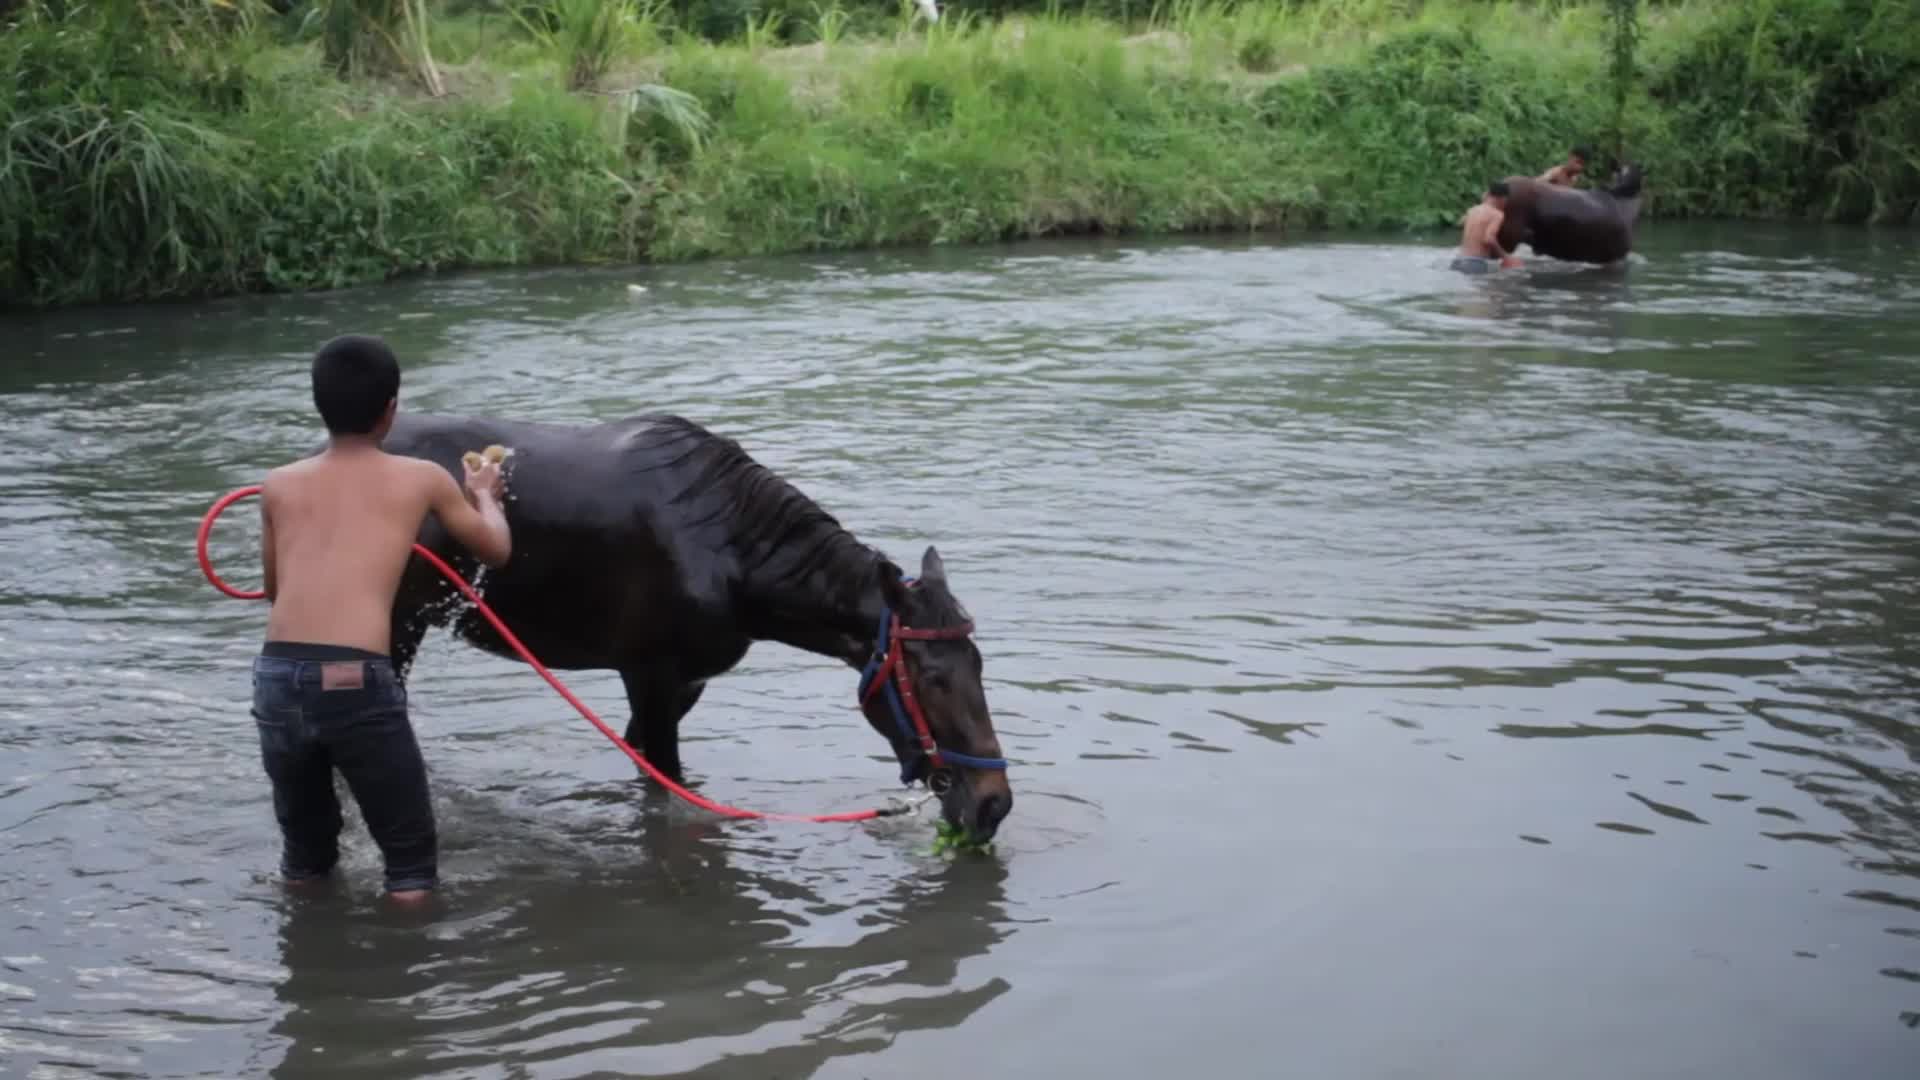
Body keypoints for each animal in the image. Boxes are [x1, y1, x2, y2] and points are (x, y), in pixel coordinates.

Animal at [367, 411, 1013, 841]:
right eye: (931, 678)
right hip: (393, 631)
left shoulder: (684, 683)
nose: (994, 806)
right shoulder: (650, 675)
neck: (735, 555)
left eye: (978, 665)